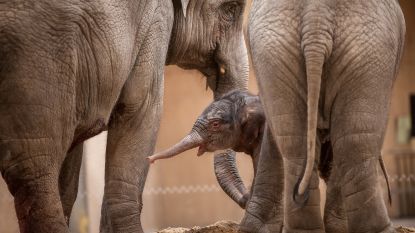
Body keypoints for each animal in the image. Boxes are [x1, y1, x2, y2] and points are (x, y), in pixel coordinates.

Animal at [0, 0, 249, 232]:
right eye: (231, 10)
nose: (246, 199)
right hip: (39, 52)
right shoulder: (155, 22)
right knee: (34, 170)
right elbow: (142, 109)